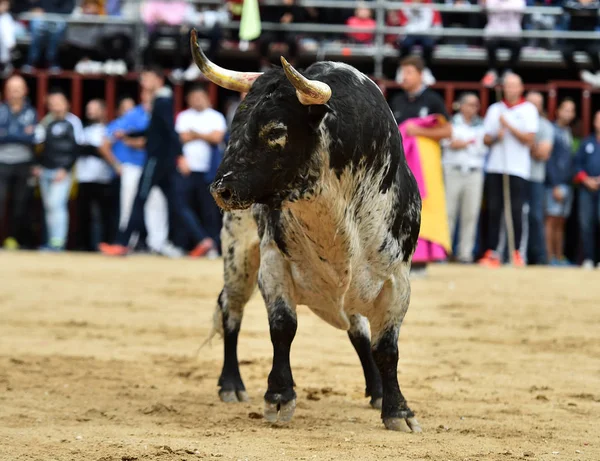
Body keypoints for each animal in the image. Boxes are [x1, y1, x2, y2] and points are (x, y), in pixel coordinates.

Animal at [191, 29, 422, 432]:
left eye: (276, 130)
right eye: (235, 125)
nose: (221, 189)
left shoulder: (397, 280)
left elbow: (386, 347)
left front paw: (397, 409)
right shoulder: (273, 261)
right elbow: (283, 327)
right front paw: (279, 397)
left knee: (359, 331)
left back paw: (376, 390)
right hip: (238, 252)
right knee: (230, 311)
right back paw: (231, 384)